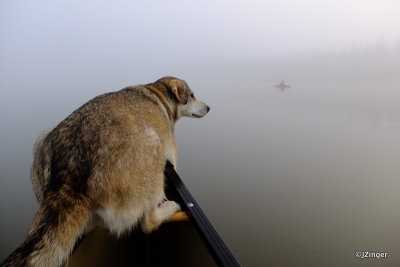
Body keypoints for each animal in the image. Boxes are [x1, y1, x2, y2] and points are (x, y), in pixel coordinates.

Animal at [0, 77, 209, 267]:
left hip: (41, 141)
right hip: (152, 142)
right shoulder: (169, 146)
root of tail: (69, 174)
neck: (157, 91)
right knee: (148, 221)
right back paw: (168, 209)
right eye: (192, 95)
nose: (208, 108)